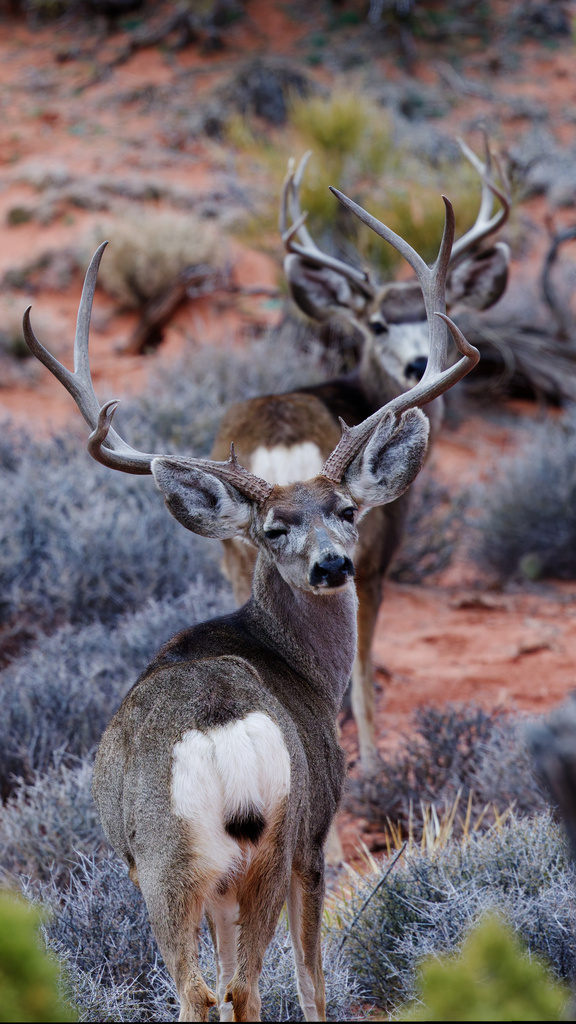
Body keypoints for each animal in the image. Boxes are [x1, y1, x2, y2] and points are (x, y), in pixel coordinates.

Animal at [23, 189, 479, 1022]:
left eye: (347, 510)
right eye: (275, 528)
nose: (332, 564)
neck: (292, 661)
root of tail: (221, 736)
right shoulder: (317, 830)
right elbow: (312, 981)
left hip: (181, 863)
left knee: (209, 988)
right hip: (252, 850)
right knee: (233, 985)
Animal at [211, 137, 511, 779]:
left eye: (440, 315)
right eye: (376, 323)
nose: (418, 362)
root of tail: (280, 438)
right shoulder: (376, 559)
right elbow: (366, 668)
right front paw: (373, 758)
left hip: (234, 552)